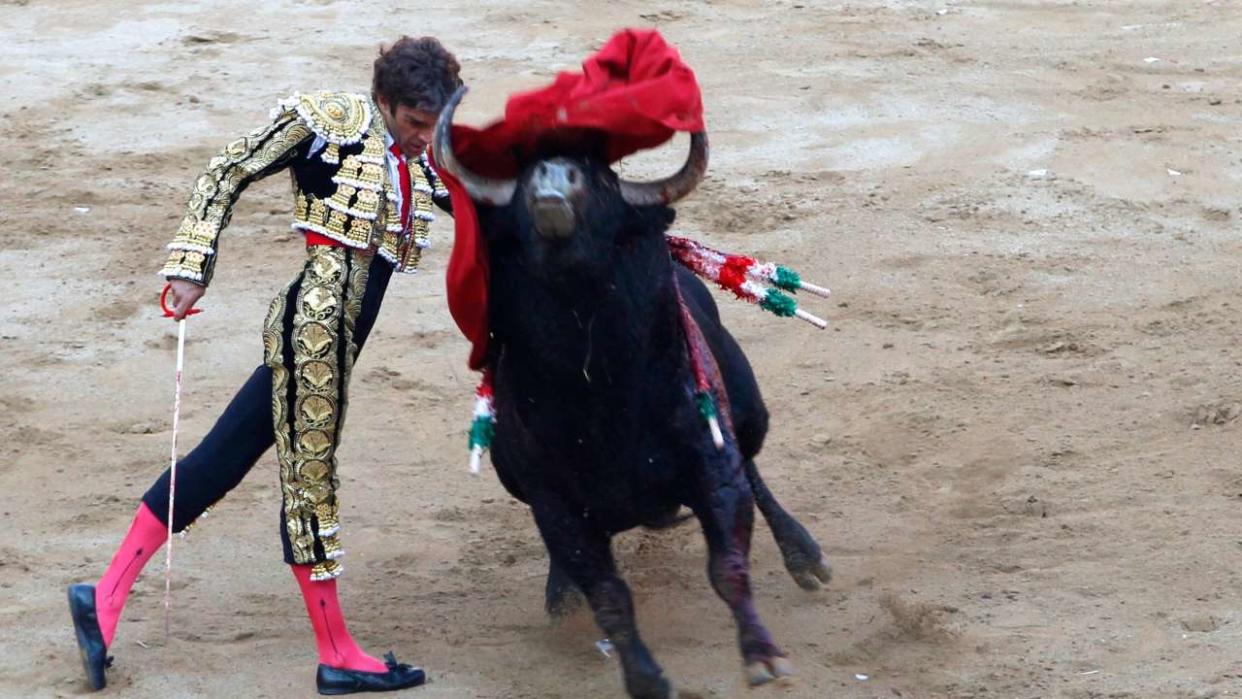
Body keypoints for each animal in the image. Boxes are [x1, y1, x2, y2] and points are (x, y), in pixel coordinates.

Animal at [437, 87, 834, 699]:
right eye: (524, 176)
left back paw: (804, 555)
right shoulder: (554, 502)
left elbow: (728, 563)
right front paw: (645, 677)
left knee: (754, 471)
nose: (553, 175)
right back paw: (560, 596)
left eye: (599, 177)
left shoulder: (709, 461)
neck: (601, 390)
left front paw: (763, 656)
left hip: (745, 411)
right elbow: (607, 594)